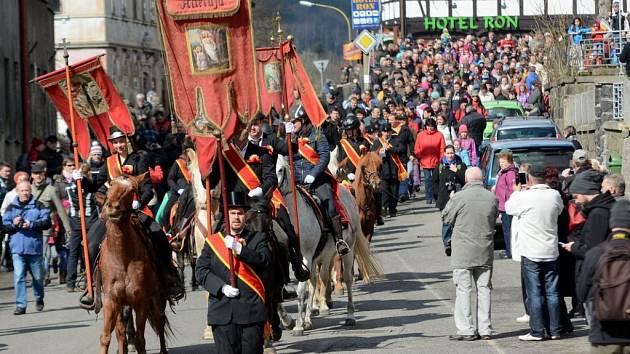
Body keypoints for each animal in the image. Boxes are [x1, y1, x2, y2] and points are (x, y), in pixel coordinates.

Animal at [98, 174, 169, 354]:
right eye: (110, 185)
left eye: (131, 190)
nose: (112, 207)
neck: (122, 258)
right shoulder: (111, 300)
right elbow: (107, 337)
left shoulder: (140, 300)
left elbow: (140, 340)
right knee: (121, 332)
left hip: (156, 296)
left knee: (159, 321)